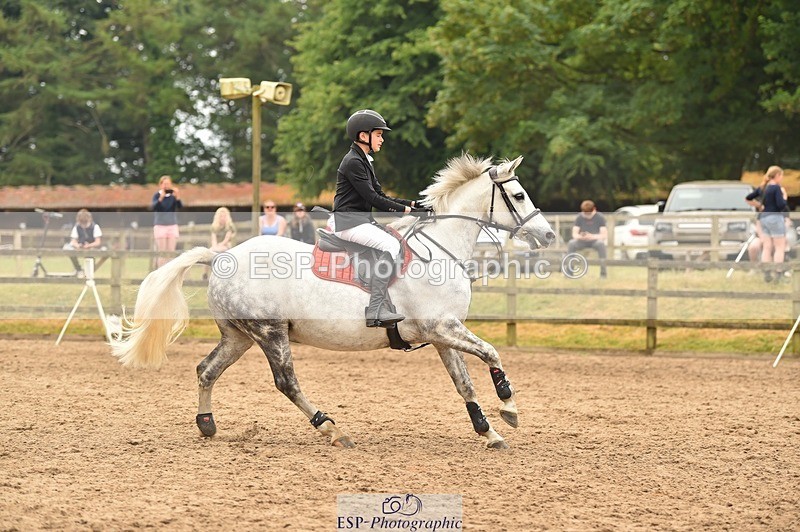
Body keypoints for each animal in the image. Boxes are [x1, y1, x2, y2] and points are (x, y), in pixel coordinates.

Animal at [111, 154, 556, 449]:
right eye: (518, 194)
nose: (548, 235)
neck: (440, 250)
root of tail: (222, 256)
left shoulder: (442, 334)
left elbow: (464, 382)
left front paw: (489, 431)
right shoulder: (442, 327)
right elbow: (492, 352)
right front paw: (509, 408)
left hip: (239, 336)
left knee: (206, 370)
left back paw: (207, 424)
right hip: (270, 332)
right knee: (286, 382)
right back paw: (330, 428)